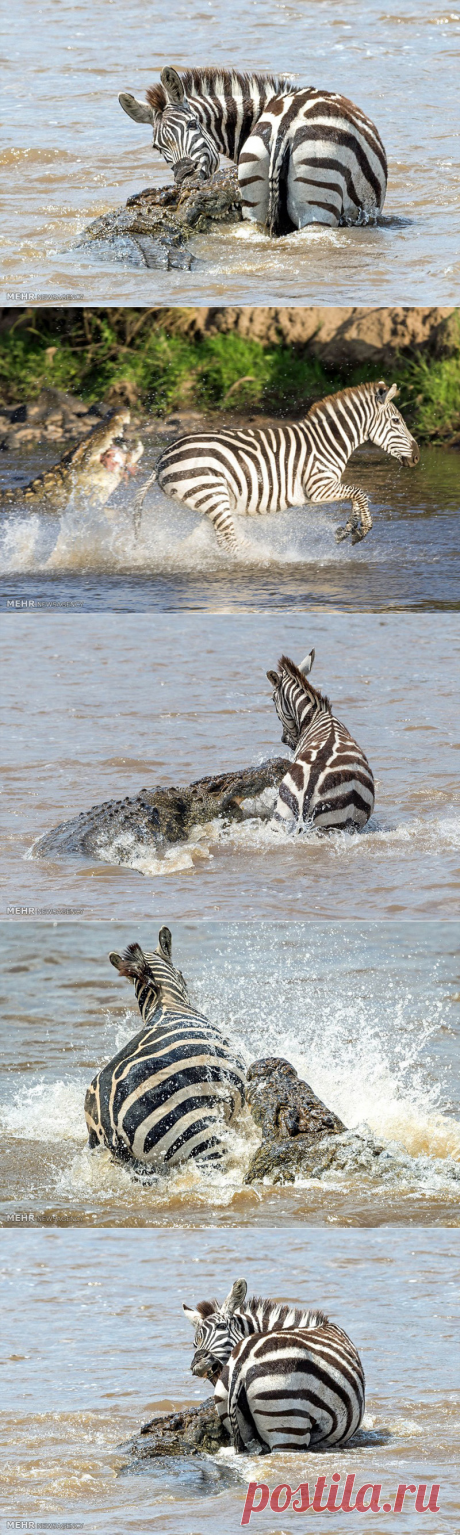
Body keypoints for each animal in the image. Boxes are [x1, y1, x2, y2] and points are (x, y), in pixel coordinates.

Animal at [132, 380, 420, 549]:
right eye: (397, 421)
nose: (417, 457)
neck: (327, 441)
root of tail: (161, 458)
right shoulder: (317, 487)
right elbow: (360, 493)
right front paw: (361, 531)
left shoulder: (327, 488)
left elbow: (357, 497)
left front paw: (347, 529)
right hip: (212, 496)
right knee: (230, 542)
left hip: (210, 502)